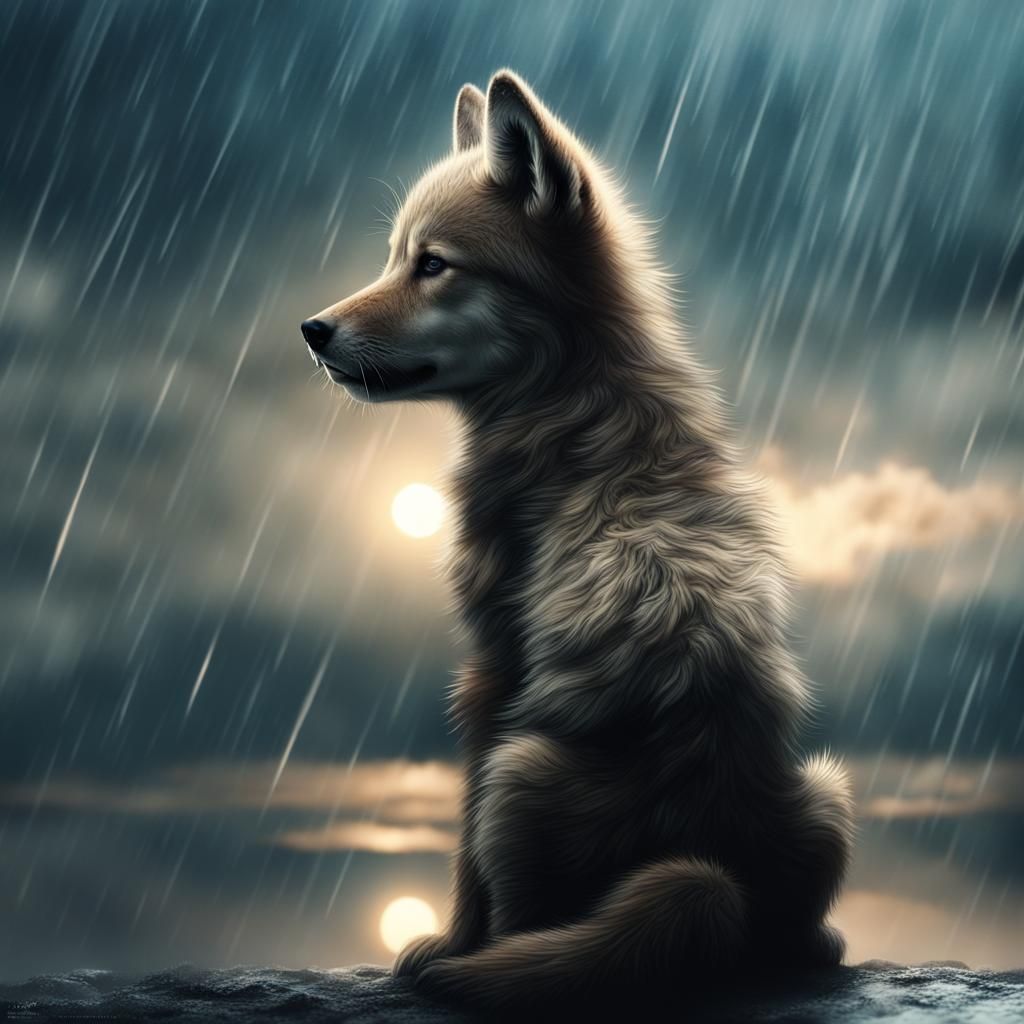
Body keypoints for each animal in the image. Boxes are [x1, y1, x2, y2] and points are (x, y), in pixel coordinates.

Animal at [301, 70, 854, 1009]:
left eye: (432, 264)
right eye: (394, 256)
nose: (312, 330)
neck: (574, 389)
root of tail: (710, 878)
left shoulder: (491, 667)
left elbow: (462, 850)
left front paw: (446, 945)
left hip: (521, 773)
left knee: (533, 922)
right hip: (828, 788)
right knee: (797, 938)